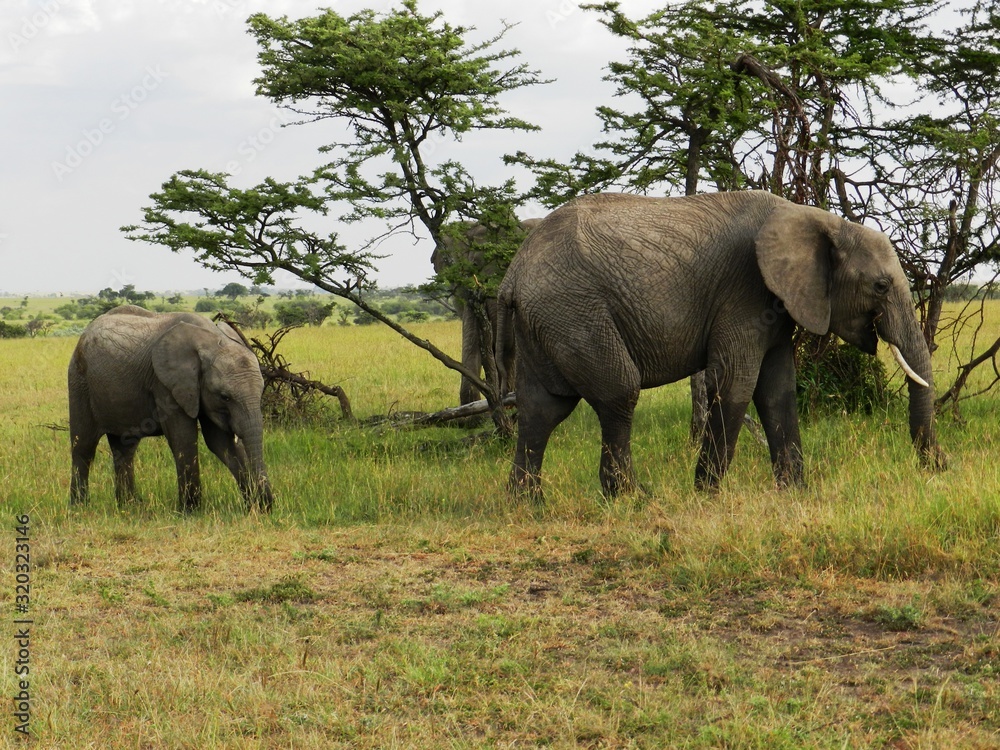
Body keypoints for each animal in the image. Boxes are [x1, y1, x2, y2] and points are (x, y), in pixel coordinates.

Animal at [69, 304, 276, 512]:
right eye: (225, 397)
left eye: (261, 392)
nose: (267, 506)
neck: (211, 340)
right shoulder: (165, 384)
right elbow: (183, 438)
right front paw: (190, 511)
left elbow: (220, 442)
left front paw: (254, 507)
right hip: (79, 382)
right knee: (84, 447)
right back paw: (80, 507)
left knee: (124, 447)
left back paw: (129, 506)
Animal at [500, 191, 944, 500]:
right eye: (880, 286)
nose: (938, 468)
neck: (817, 218)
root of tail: (513, 273)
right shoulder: (744, 293)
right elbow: (734, 385)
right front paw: (706, 496)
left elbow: (778, 392)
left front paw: (795, 493)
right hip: (574, 311)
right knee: (619, 392)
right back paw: (633, 498)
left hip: (547, 321)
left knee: (542, 409)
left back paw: (528, 504)